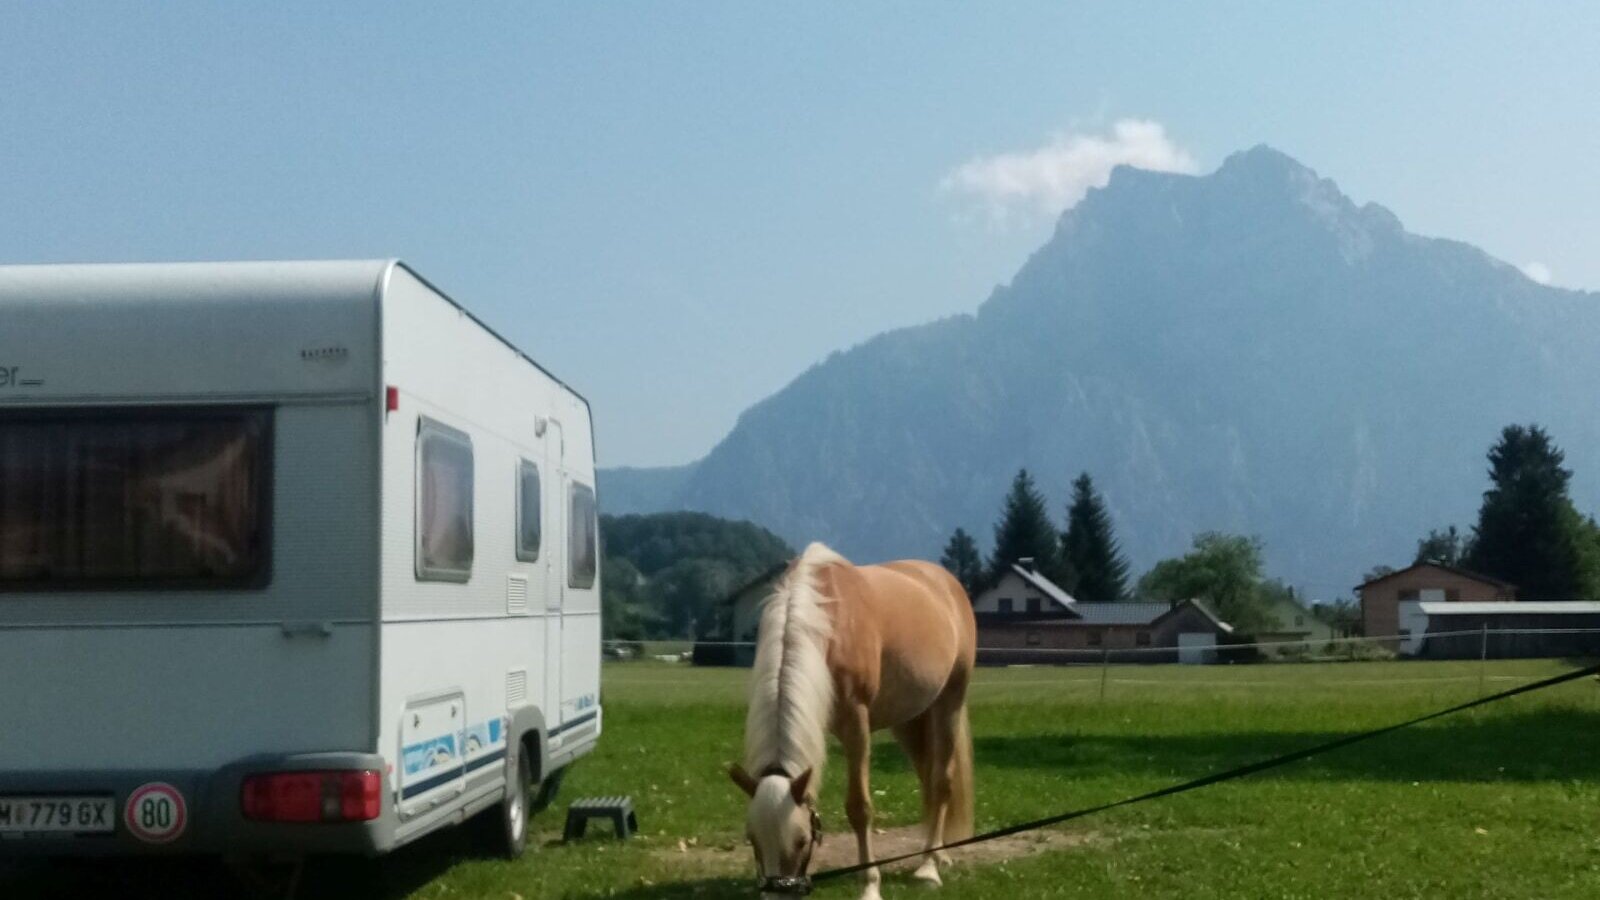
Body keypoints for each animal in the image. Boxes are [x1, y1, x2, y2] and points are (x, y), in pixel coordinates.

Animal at [729, 542, 977, 900]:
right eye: (752, 839)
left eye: (801, 840)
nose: (779, 893)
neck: (827, 625)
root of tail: (946, 582)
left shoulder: (857, 725)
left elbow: (859, 808)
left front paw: (870, 885)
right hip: (908, 720)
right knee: (929, 780)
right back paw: (939, 854)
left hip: (950, 702)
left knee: (941, 782)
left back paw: (929, 867)